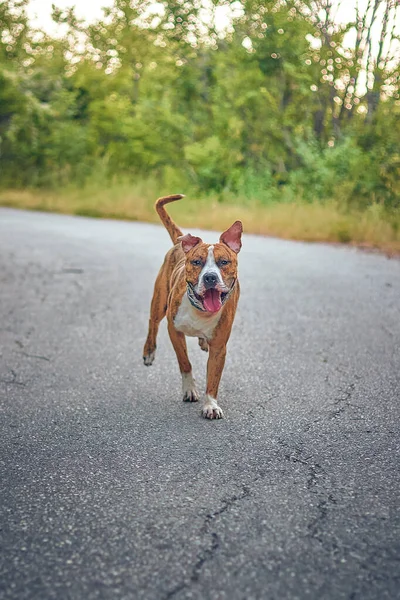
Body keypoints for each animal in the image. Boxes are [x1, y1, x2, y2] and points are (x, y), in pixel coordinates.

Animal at [144, 195, 244, 420]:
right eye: (197, 262)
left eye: (224, 262)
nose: (210, 277)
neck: (201, 311)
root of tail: (180, 244)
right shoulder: (174, 331)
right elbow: (185, 362)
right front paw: (190, 390)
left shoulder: (219, 347)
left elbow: (213, 378)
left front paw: (211, 405)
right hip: (159, 300)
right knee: (152, 322)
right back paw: (149, 352)